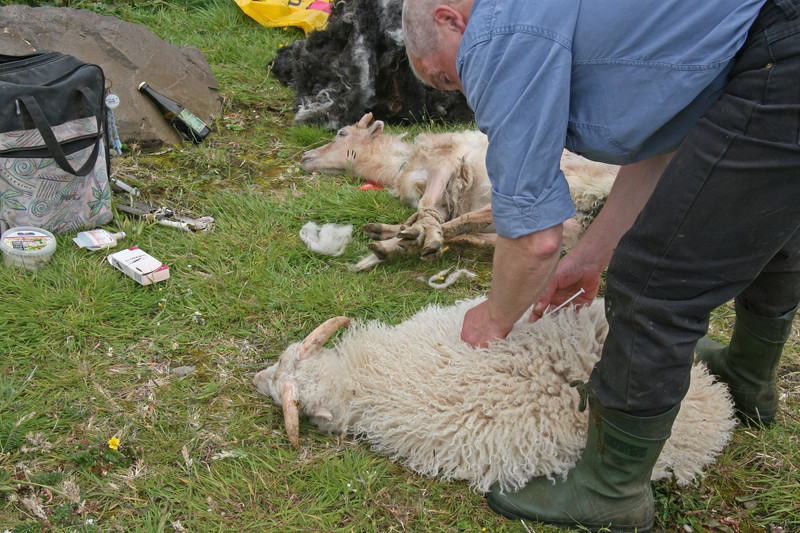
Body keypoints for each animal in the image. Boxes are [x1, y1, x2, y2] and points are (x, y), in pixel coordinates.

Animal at [300, 113, 620, 270]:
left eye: (341, 133)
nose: (304, 157)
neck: (399, 165)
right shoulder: (444, 198)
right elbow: (431, 212)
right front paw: (412, 233)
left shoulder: (447, 160)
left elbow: (425, 205)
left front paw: (419, 234)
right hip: (574, 224)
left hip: (554, 181)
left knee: (489, 214)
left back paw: (394, 243)